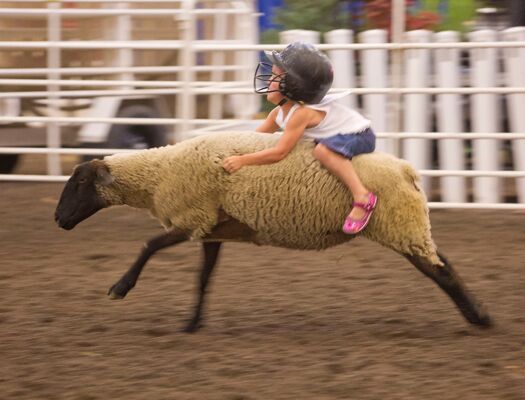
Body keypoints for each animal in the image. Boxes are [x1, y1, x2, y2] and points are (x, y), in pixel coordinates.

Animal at [54, 131, 492, 332]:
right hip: (408, 226)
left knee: (441, 272)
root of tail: (407, 170)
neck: (159, 173)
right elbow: (203, 278)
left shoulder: (190, 218)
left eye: (80, 182)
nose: (58, 220)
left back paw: (480, 319)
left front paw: (119, 288)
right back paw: (479, 314)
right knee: (442, 263)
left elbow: (148, 245)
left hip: (399, 224)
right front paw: (192, 323)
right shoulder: (211, 228)